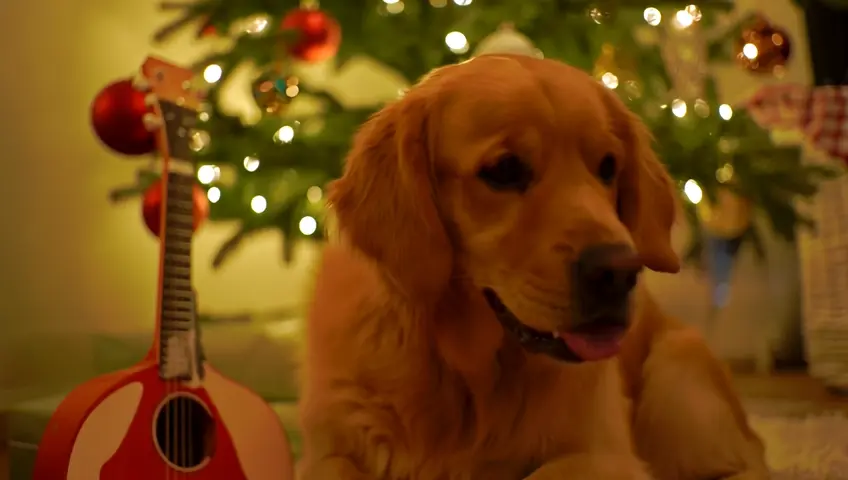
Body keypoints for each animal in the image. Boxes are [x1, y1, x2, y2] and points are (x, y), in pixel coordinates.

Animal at [296, 54, 768, 478]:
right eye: (504, 169)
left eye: (608, 167)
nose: (620, 271)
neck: (470, 377)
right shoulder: (328, 449)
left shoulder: (605, 454)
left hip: (675, 375)